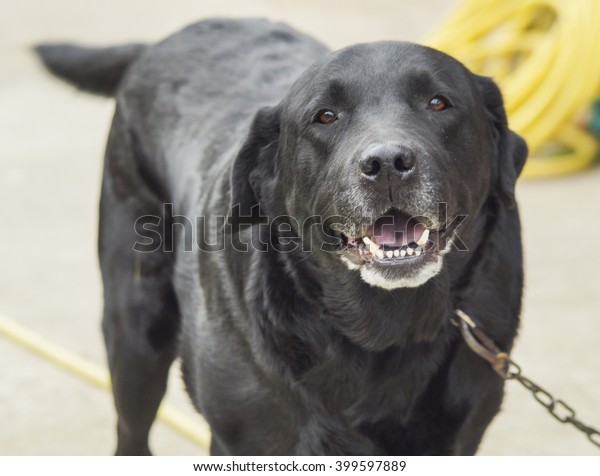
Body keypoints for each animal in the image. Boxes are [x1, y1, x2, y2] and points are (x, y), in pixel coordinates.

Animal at [37, 18, 524, 456]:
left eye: (438, 103)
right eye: (325, 116)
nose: (387, 163)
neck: (382, 329)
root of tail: (162, 41)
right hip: (135, 329)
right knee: (130, 435)